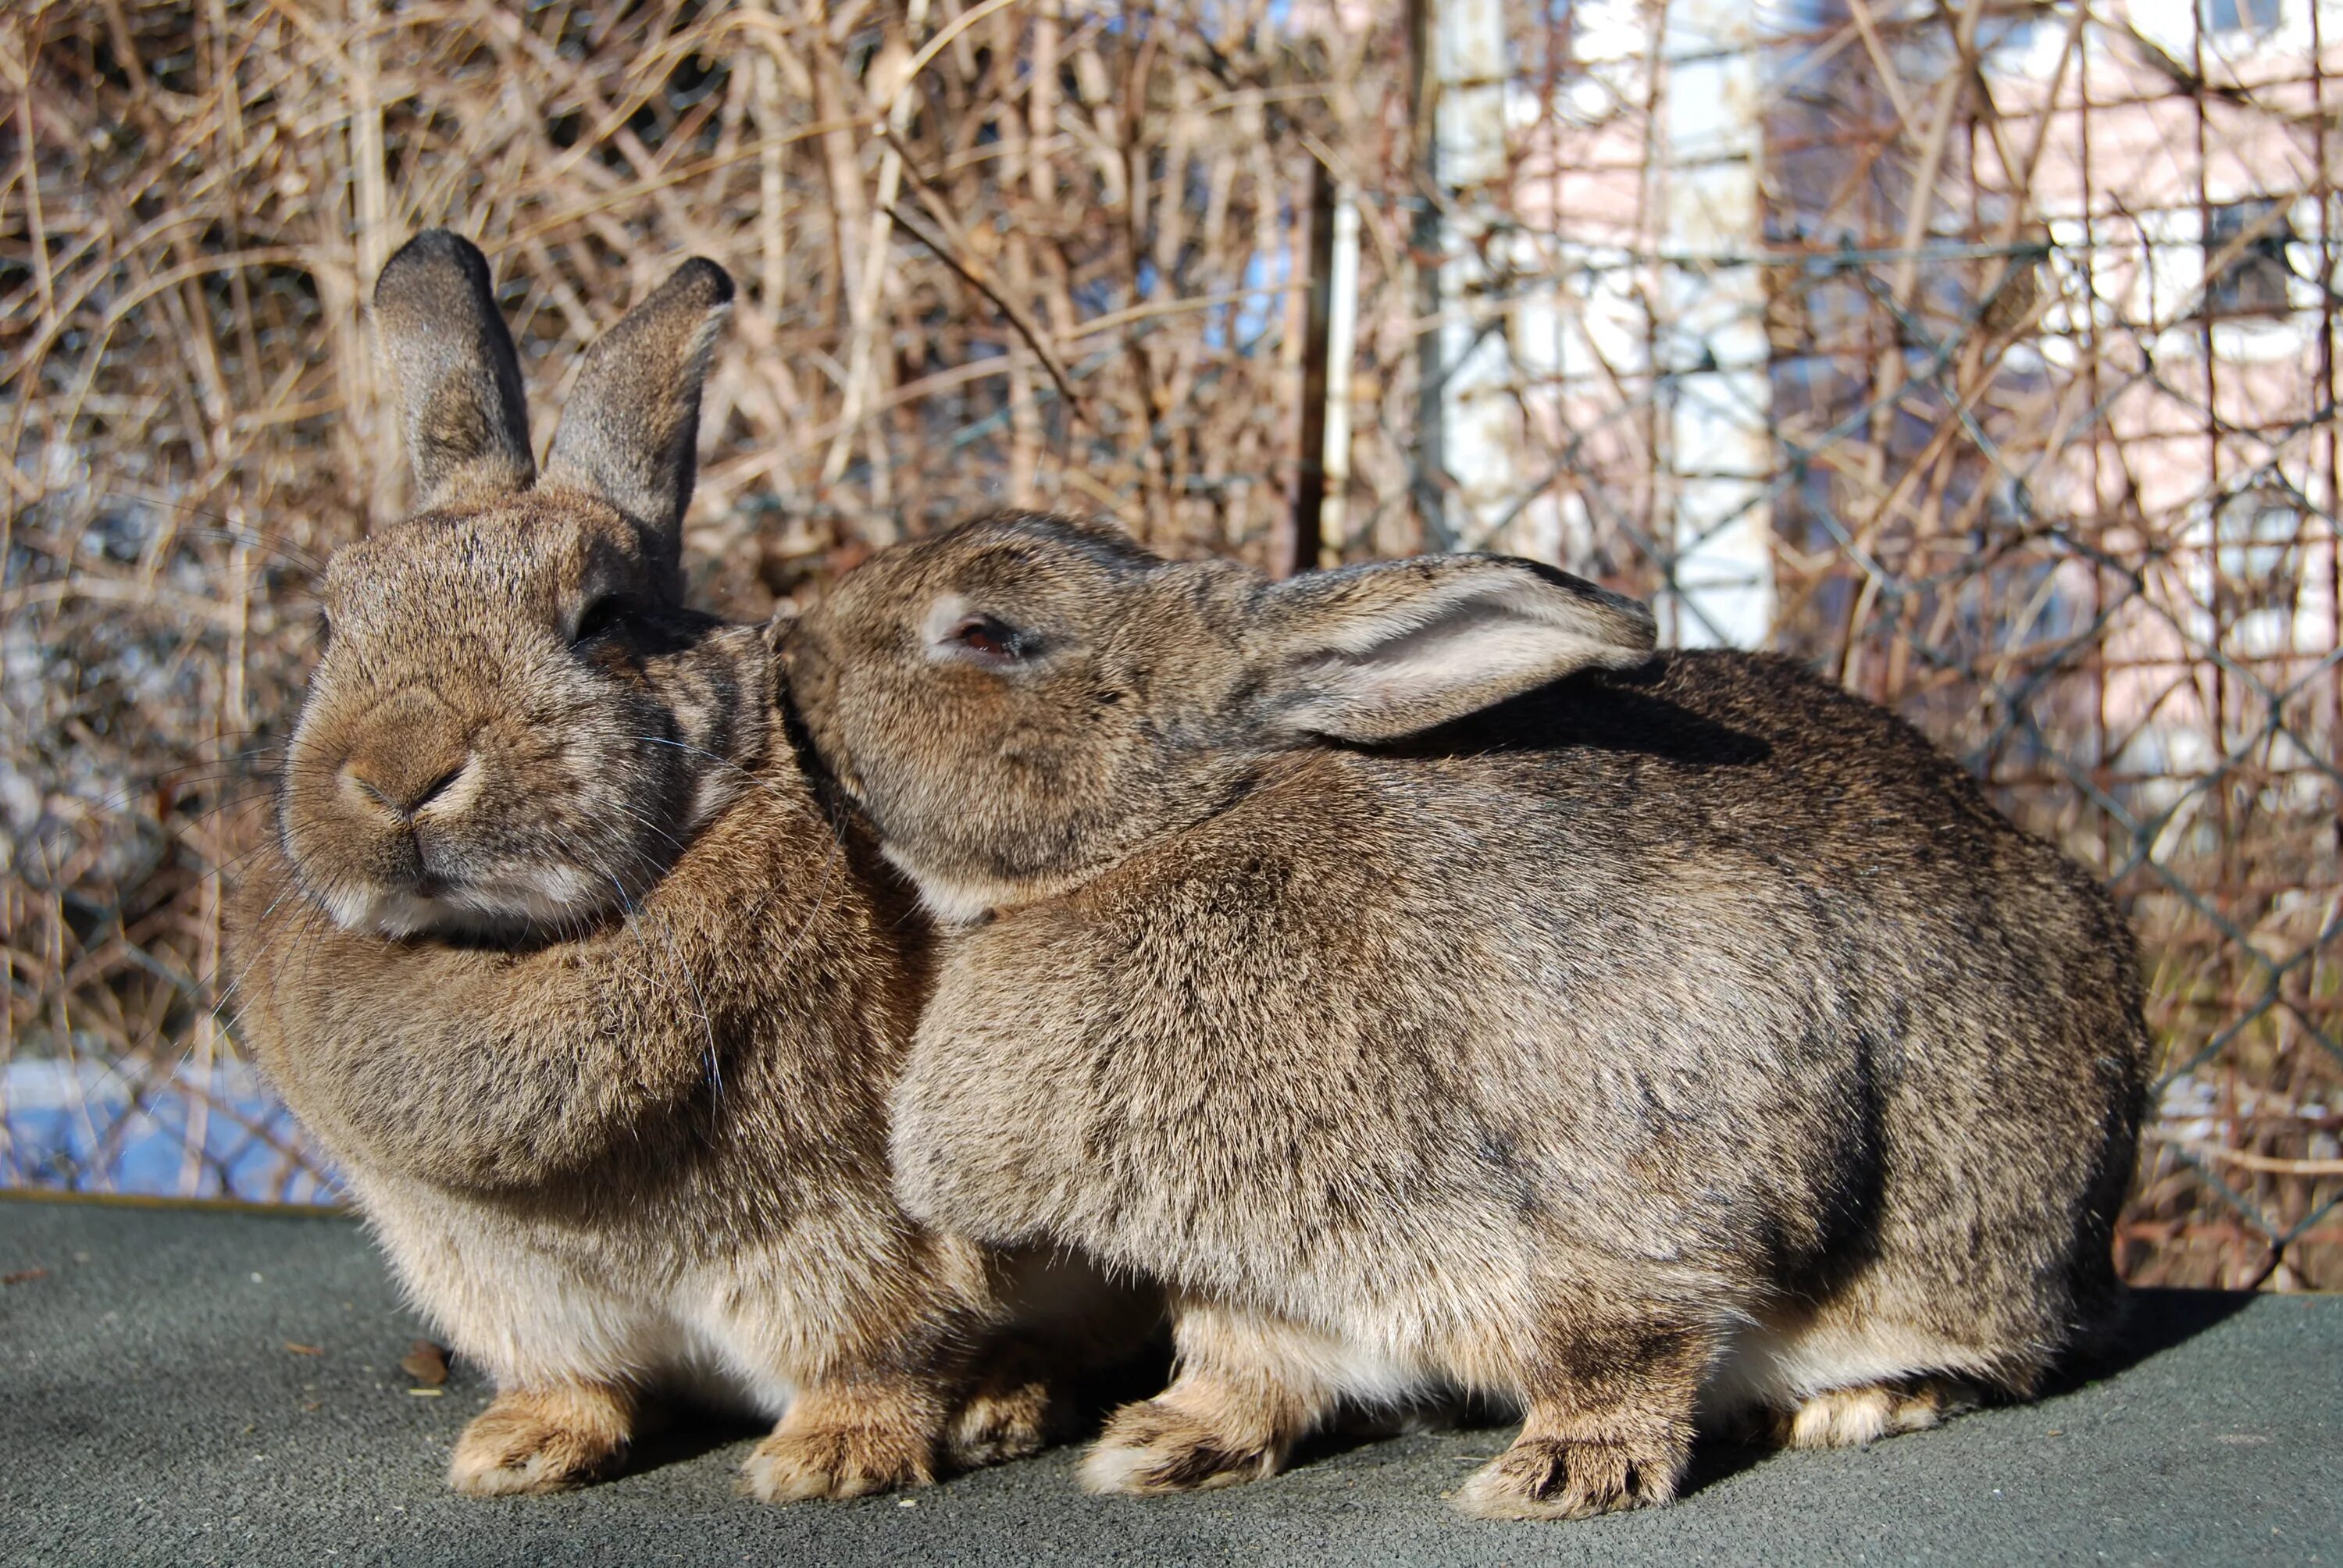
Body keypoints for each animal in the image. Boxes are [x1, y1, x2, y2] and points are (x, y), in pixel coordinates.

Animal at [223, 239, 1111, 1499]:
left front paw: (834, 1459)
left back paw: (1003, 1405)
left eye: (598, 618)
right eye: (333, 620)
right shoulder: (505, 1281)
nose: (400, 773)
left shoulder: (855, 1235)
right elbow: (574, 1378)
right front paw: (518, 1448)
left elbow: (885, 1346)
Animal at [783, 513, 2146, 1518]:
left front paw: (1562, 1475)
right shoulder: (1252, 1282)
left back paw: (1854, 1406)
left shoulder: (1639, 1187)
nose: (794, 648)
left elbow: (1628, 1343)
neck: (1166, 833)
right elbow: (1242, 1367)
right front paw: (1161, 1447)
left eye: (987, 633)